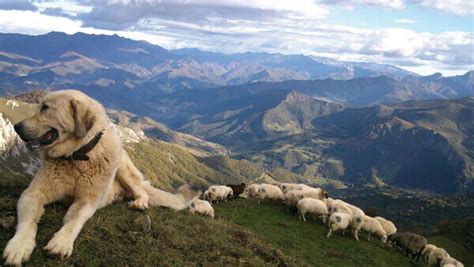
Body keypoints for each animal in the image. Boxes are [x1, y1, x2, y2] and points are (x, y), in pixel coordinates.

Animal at [3, 90, 196, 266]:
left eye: (45, 108)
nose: (17, 127)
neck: (76, 157)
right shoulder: (33, 193)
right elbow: (28, 221)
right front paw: (19, 246)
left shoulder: (87, 200)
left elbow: (74, 220)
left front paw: (61, 242)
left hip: (123, 169)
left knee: (142, 191)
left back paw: (139, 203)